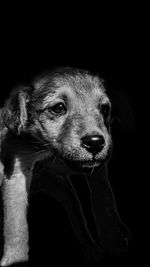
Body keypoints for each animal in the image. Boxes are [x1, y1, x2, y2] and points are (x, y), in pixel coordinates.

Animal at [0, 67, 134, 266]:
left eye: (104, 108)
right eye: (58, 108)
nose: (95, 143)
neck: (51, 153)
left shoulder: (99, 167)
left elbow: (104, 198)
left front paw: (112, 238)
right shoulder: (16, 169)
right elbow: (16, 223)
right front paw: (16, 259)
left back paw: (95, 247)